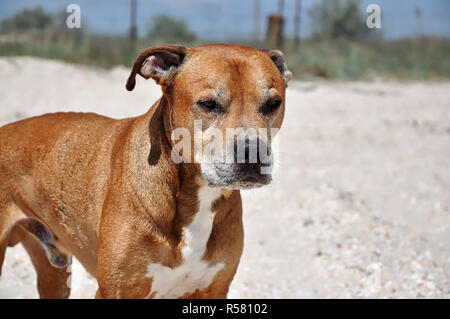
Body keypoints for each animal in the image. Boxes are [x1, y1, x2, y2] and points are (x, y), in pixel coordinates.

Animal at [0, 43, 292, 298]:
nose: (253, 153)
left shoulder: (213, 289)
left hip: (54, 275)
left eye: (272, 104)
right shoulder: (116, 291)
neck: (192, 195)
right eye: (208, 104)